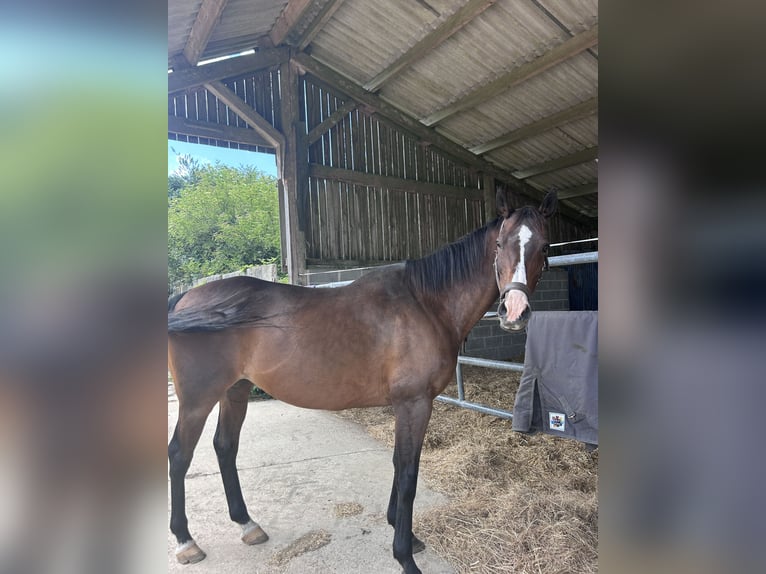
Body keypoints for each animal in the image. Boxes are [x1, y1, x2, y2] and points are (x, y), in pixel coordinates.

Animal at [167, 188, 557, 574]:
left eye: (544, 246)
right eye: (500, 244)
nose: (514, 312)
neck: (425, 303)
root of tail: (186, 298)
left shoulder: (408, 406)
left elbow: (399, 465)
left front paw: (404, 532)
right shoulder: (414, 404)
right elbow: (408, 473)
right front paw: (405, 556)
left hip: (235, 391)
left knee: (224, 447)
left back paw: (247, 524)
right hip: (197, 400)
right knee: (179, 455)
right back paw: (186, 542)